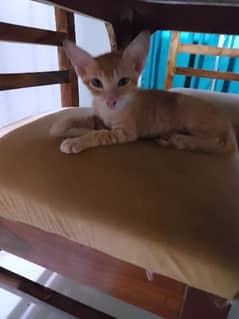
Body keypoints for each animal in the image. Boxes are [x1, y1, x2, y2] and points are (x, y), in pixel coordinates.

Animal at [50, 31, 237, 156]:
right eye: (97, 83)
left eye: (123, 82)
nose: (111, 101)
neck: (109, 111)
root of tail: (227, 123)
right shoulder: (99, 118)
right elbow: (81, 118)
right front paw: (59, 125)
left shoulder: (126, 132)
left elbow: (99, 133)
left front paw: (76, 141)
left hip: (190, 113)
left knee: (216, 140)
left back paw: (180, 139)